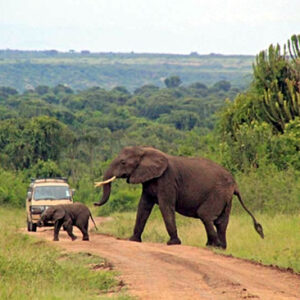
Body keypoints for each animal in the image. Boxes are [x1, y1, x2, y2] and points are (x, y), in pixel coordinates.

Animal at [93, 146, 262, 248]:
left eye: (123, 162)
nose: (94, 204)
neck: (145, 150)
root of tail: (235, 184)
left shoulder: (167, 179)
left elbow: (165, 206)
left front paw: (173, 243)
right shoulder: (149, 181)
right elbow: (143, 206)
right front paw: (133, 240)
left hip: (218, 193)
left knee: (205, 215)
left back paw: (214, 246)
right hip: (226, 197)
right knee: (221, 221)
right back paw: (220, 247)